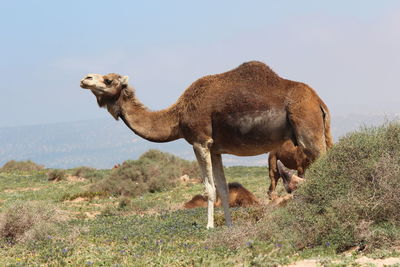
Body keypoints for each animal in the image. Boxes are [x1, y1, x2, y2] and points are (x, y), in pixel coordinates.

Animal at [79, 61, 332, 230]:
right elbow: (222, 188)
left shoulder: (199, 141)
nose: (85, 79)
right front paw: (229, 226)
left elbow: (209, 188)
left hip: (307, 130)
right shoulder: (216, 149)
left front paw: (209, 227)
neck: (177, 117)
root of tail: (320, 102)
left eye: (108, 80)